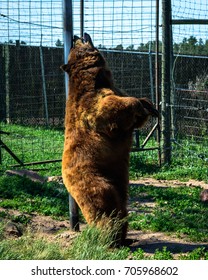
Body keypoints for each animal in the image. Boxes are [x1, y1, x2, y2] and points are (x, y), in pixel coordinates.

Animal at [61, 32, 158, 243]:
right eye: (75, 43)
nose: (76, 34)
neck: (98, 79)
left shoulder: (114, 89)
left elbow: (133, 108)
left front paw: (150, 106)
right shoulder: (91, 107)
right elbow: (114, 108)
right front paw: (141, 105)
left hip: (119, 183)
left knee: (121, 208)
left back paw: (125, 238)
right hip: (95, 180)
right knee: (105, 208)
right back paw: (109, 238)